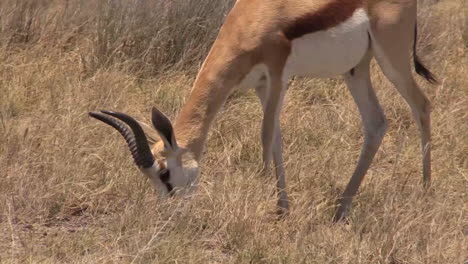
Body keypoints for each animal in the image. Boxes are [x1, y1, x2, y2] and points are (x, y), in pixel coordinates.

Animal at [90, 0, 436, 221]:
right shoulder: (260, 85)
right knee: (376, 123)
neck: (252, 18)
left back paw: (425, 193)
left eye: (164, 173)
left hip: (392, 57)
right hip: (356, 68)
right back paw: (340, 209)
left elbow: (265, 135)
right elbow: (276, 142)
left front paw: (261, 205)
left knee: (421, 105)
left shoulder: (278, 74)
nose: (170, 211)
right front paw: (282, 210)